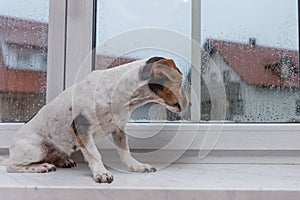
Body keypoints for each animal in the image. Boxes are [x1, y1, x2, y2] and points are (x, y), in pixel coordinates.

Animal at [2, 57, 190, 184]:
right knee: (11, 166)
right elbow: (95, 154)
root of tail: (12, 148)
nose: (190, 104)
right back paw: (40, 167)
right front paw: (101, 173)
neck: (118, 93)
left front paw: (138, 167)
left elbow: (126, 154)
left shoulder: (118, 129)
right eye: (180, 82)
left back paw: (62, 160)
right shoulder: (82, 128)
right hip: (36, 149)